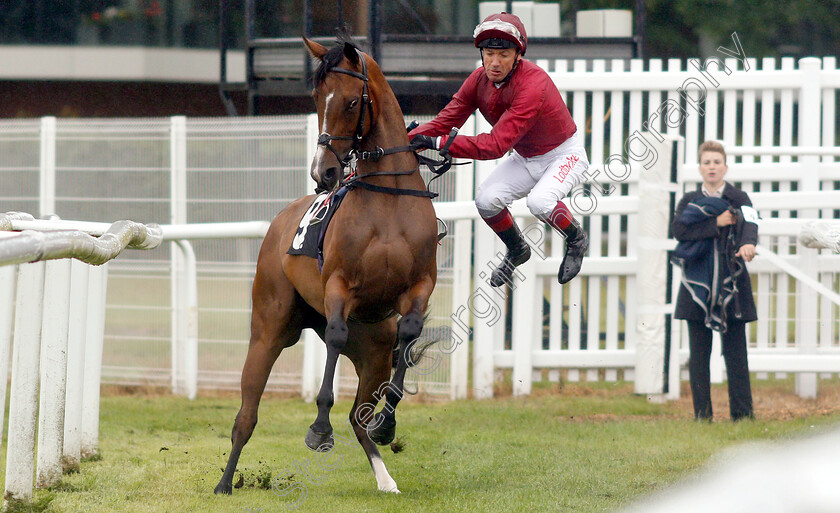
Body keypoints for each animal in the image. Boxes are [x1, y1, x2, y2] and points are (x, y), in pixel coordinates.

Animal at [213, 34, 440, 494]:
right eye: (318, 98)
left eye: (352, 102)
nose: (324, 172)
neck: (387, 201)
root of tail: (279, 221)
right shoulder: (339, 285)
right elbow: (335, 335)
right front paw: (319, 428)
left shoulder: (420, 285)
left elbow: (409, 333)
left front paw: (388, 423)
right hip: (268, 331)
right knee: (246, 414)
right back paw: (225, 483)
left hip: (373, 350)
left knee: (358, 416)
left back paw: (385, 476)